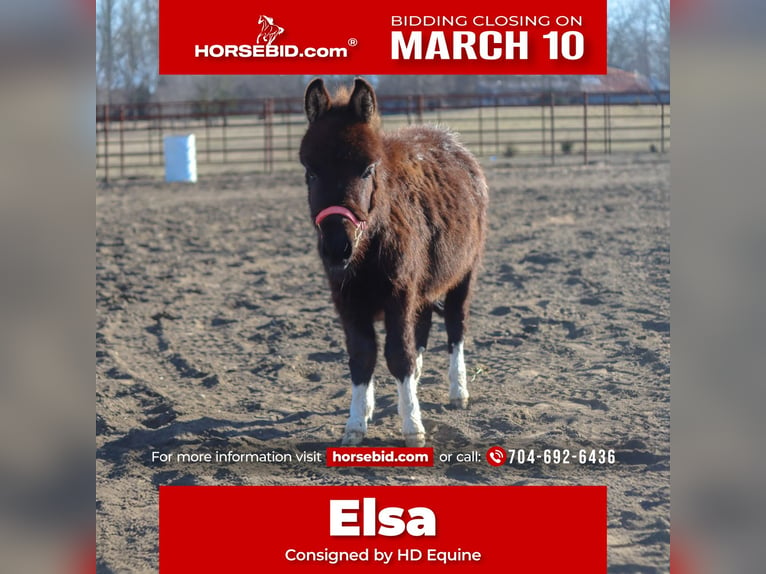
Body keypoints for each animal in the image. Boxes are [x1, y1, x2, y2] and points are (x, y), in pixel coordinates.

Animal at [302, 77, 492, 450]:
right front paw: (356, 423)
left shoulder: (399, 295)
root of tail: (452, 142)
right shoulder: (348, 300)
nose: (337, 248)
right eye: (312, 172)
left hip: (464, 274)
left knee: (455, 327)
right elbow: (362, 357)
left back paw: (457, 391)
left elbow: (398, 355)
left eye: (367, 170)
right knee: (422, 331)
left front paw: (413, 427)